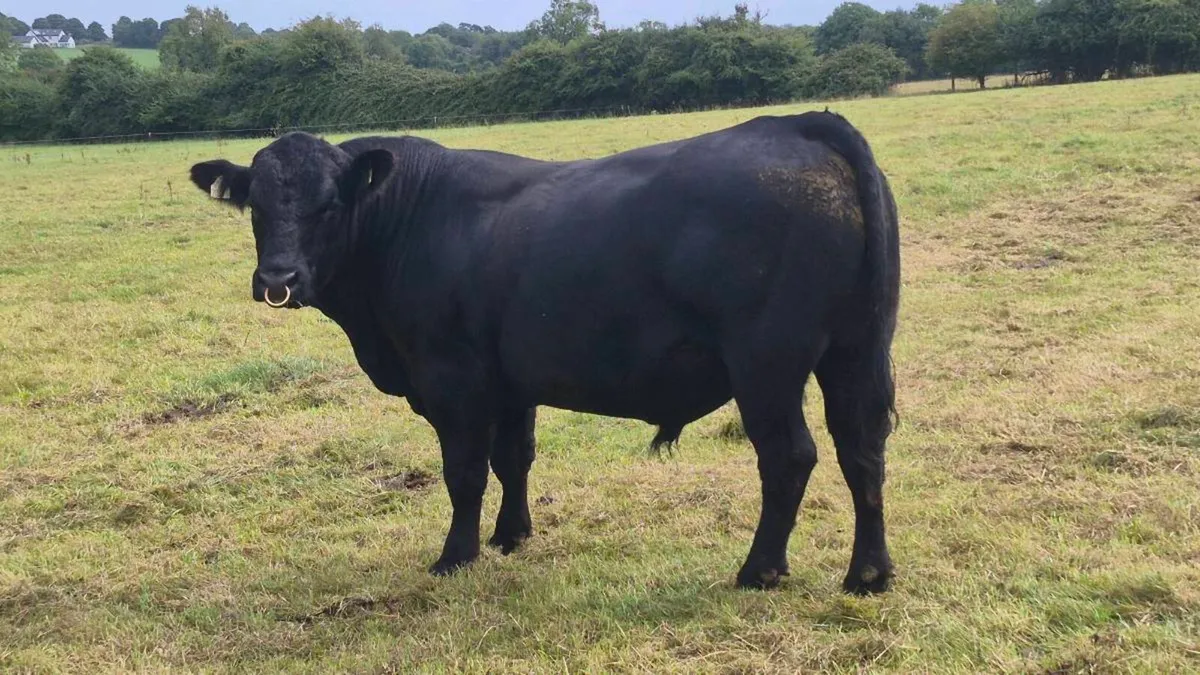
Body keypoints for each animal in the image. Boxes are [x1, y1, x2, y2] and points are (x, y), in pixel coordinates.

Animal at [188, 110, 901, 594]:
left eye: (330, 205)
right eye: (255, 206)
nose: (278, 280)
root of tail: (802, 126)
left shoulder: (453, 380)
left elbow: (465, 473)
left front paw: (455, 556)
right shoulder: (510, 380)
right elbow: (514, 459)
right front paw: (512, 536)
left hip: (766, 363)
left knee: (791, 457)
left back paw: (760, 570)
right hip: (855, 349)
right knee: (861, 450)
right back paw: (868, 574)